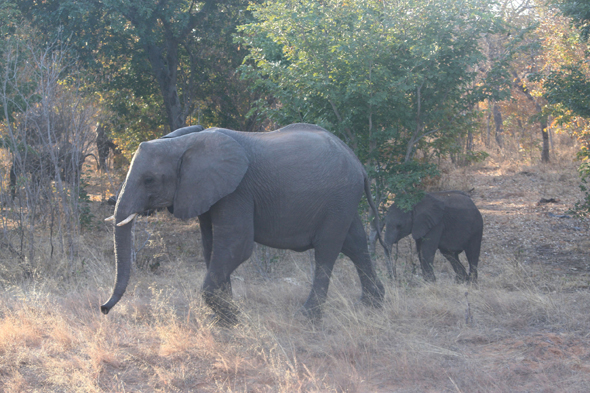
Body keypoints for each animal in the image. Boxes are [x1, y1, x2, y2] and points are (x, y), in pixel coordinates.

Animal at [103, 123, 388, 324]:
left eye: (149, 180)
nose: (103, 308)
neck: (185, 142)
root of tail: (359, 163)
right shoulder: (208, 192)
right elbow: (211, 248)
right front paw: (222, 320)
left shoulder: (237, 191)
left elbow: (237, 247)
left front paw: (233, 319)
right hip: (344, 200)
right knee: (355, 244)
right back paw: (370, 305)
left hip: (339, 198)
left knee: (327, 251)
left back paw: (307, 318)